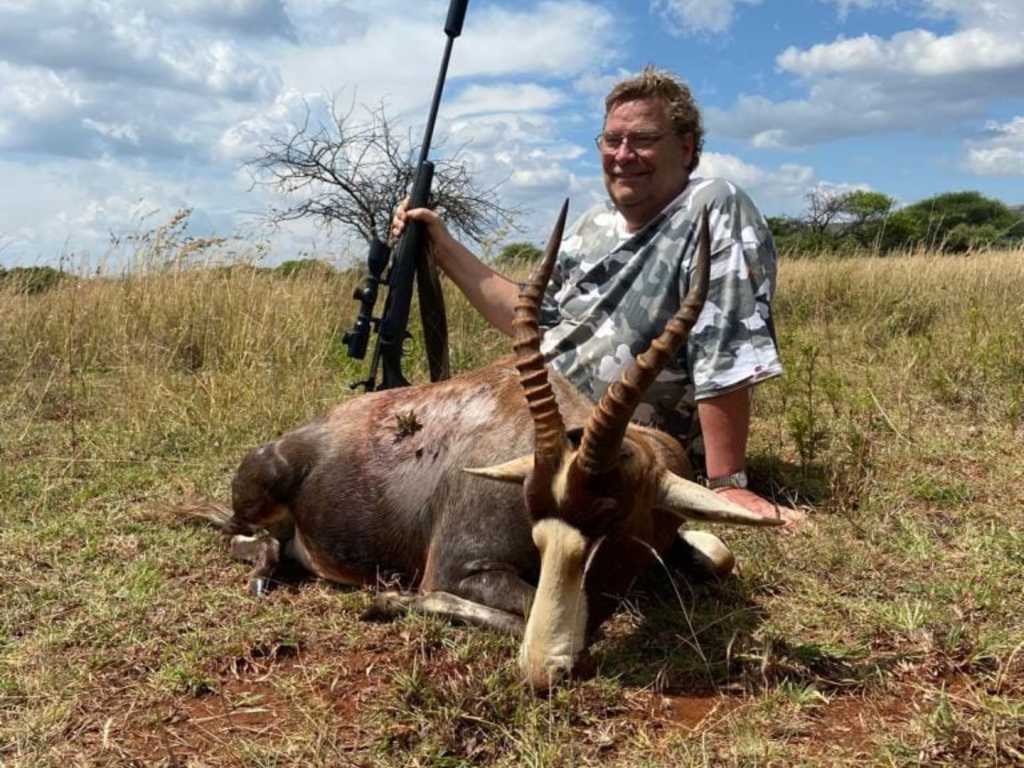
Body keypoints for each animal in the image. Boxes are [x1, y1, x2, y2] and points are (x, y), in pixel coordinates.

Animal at [191, 201, 780, 691]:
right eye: (536, 521)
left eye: (613, 523)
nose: (544, 669)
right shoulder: (461, 570)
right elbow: (529, 614)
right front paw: (390, 599)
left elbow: (718, 556)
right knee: (250, 539)